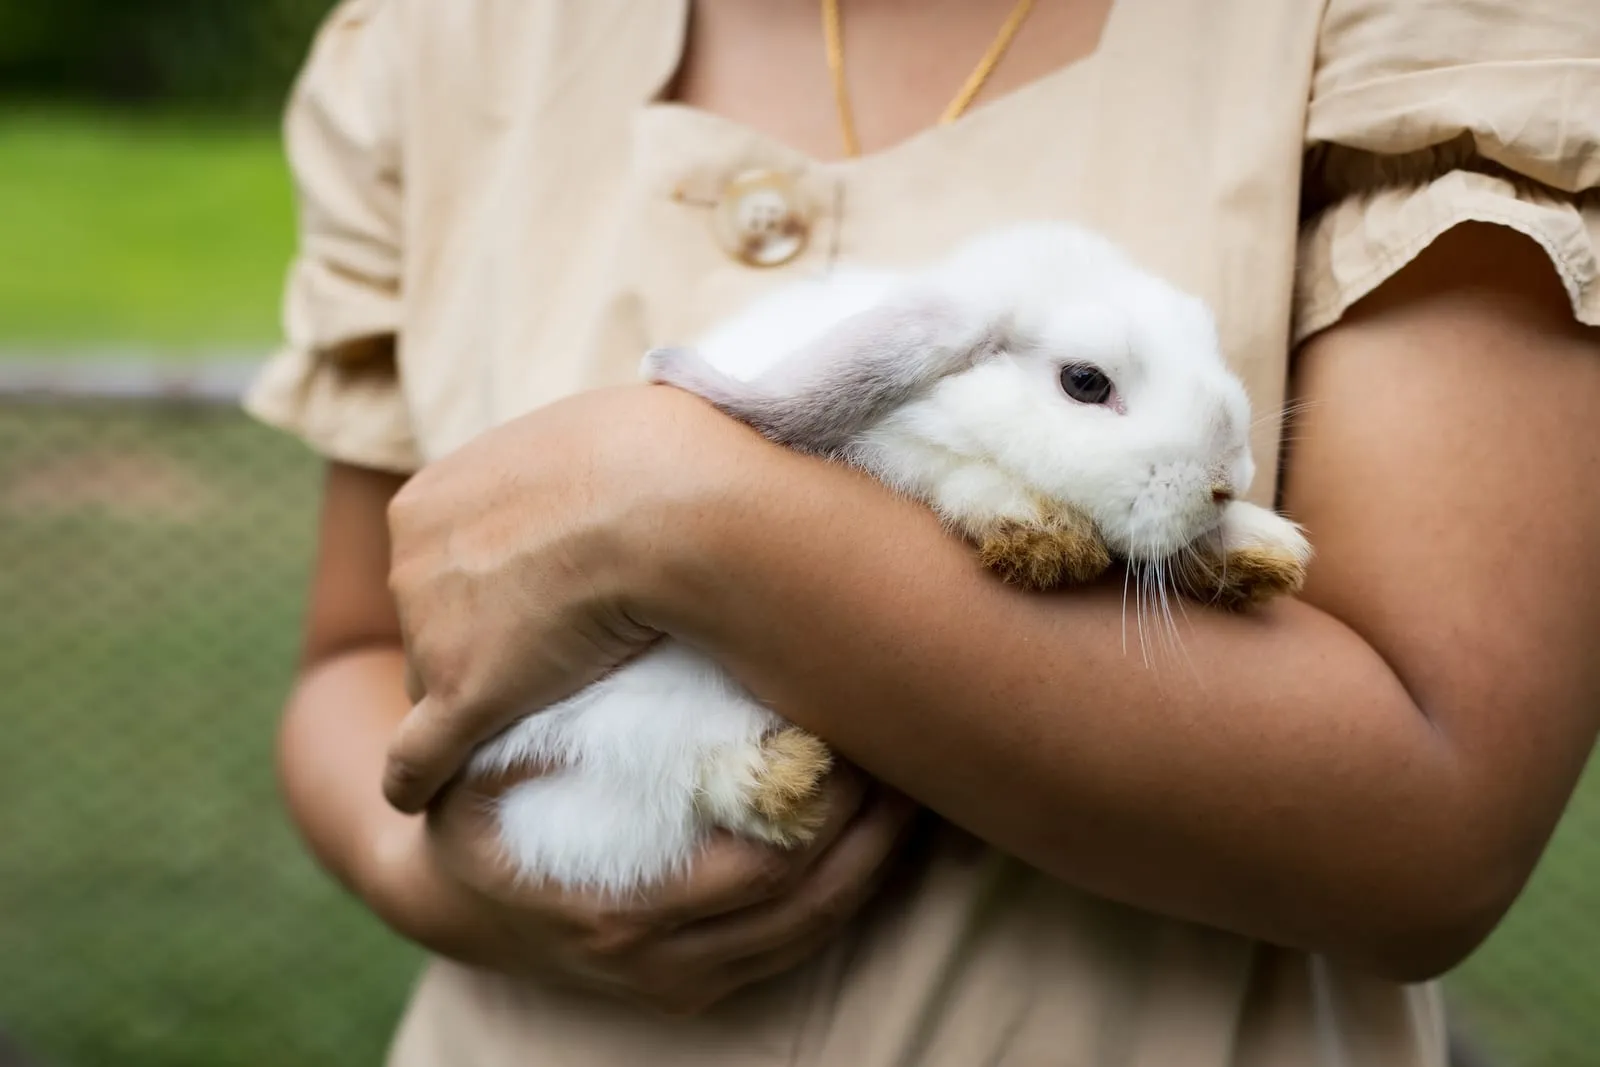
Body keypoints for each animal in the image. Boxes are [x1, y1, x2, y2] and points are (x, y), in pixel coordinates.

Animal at [465, 220, 1312, 895]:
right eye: (1084, 381)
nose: (1226, 478)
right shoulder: (893, 447)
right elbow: (948, 468)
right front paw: (1037, 525)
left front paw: (1257, 546)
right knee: (659, 749)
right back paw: (783, 780)